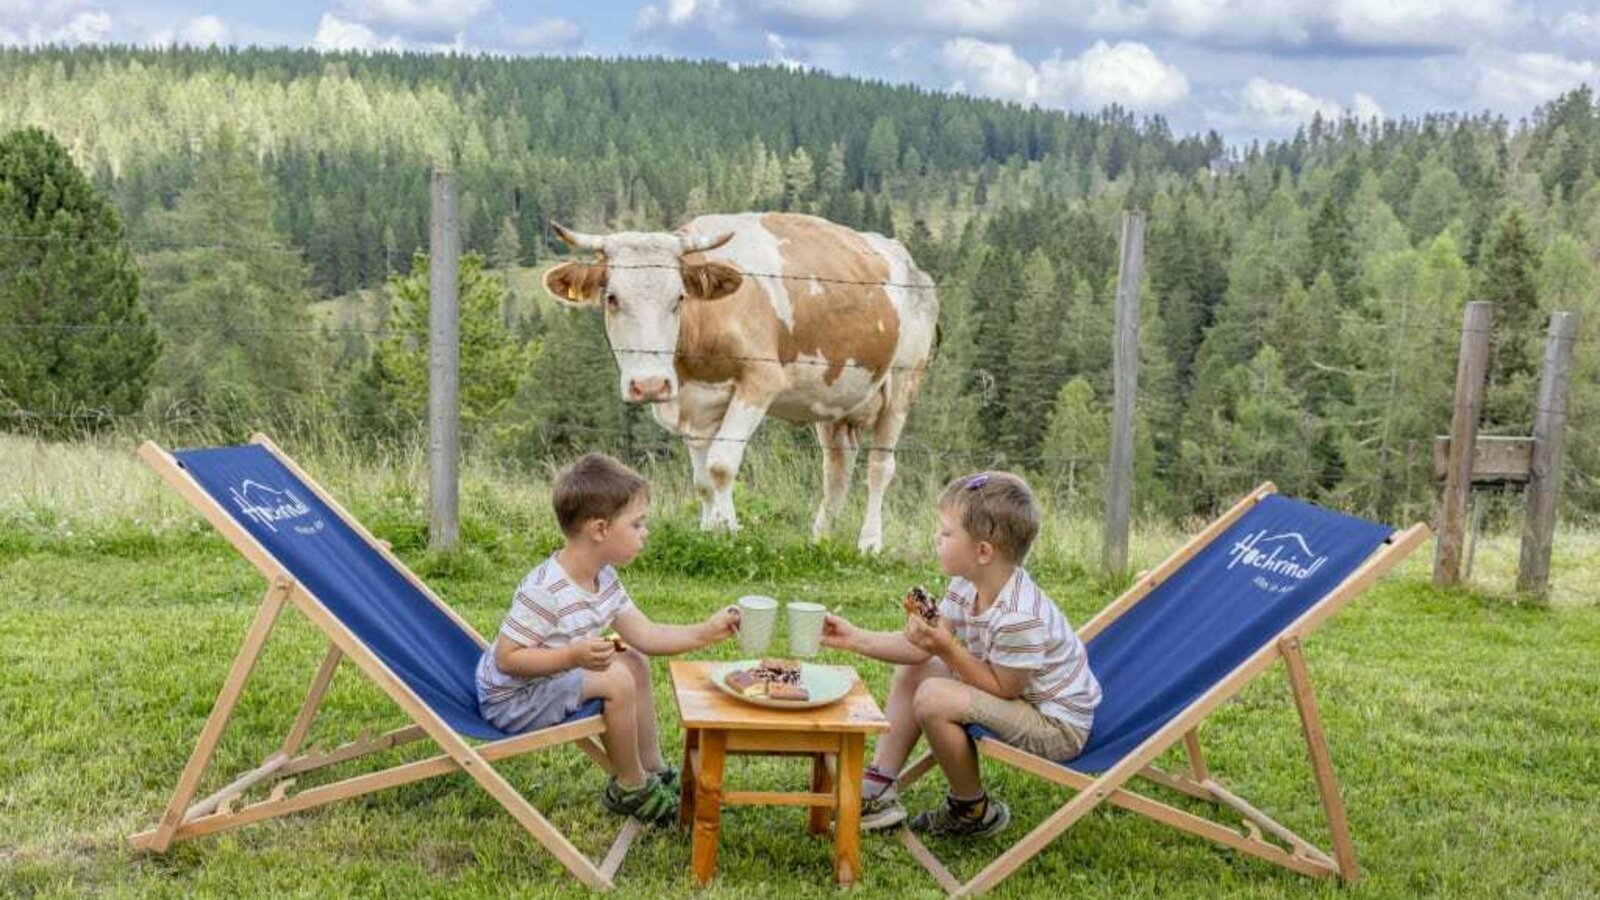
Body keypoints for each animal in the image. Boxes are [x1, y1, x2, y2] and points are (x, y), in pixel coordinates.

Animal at [540, 209, 934, 550]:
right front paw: (707, 530)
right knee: (837, 468)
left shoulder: (759, 381)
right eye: (612, 298)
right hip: (834, 399)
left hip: (902, 385)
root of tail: (912, 266)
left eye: (679, 297)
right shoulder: (694, 403)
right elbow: (702, 480)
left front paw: (728, 530)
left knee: (880, 467)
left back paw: (870, 543)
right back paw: (821, 539)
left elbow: (720, 465)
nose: (650, 385)